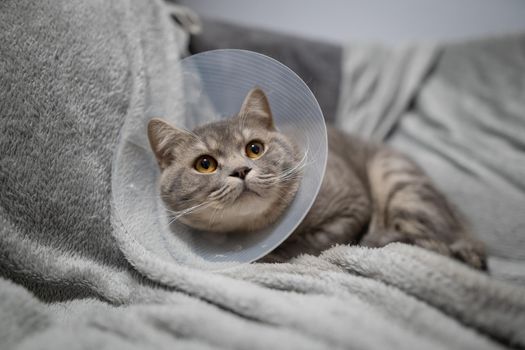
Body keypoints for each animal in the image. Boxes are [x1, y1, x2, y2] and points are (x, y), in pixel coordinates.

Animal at [147, 88, 488, 270]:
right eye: (205, 164)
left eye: (254, 148)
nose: (241, 170)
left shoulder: (352, 206)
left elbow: (314, 240)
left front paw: (277, 253)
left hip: (398, 179)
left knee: (426, 241)